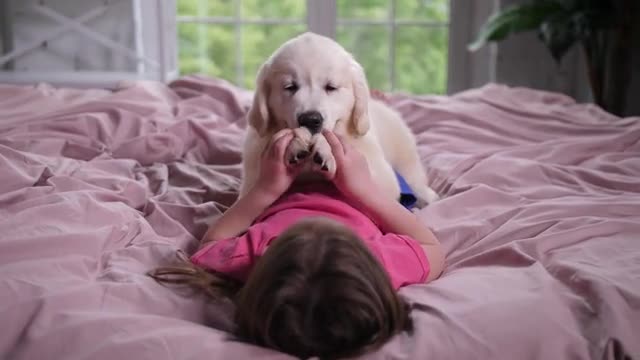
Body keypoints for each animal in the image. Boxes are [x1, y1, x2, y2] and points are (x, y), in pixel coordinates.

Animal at [240, 32, 440, 207]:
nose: (311, 120)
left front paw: (324, 147)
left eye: (331, 87)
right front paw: (295, 144)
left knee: (415, 179)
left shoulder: (384, 178)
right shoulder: (250, 180)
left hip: (404, 154)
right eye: (290, 87)